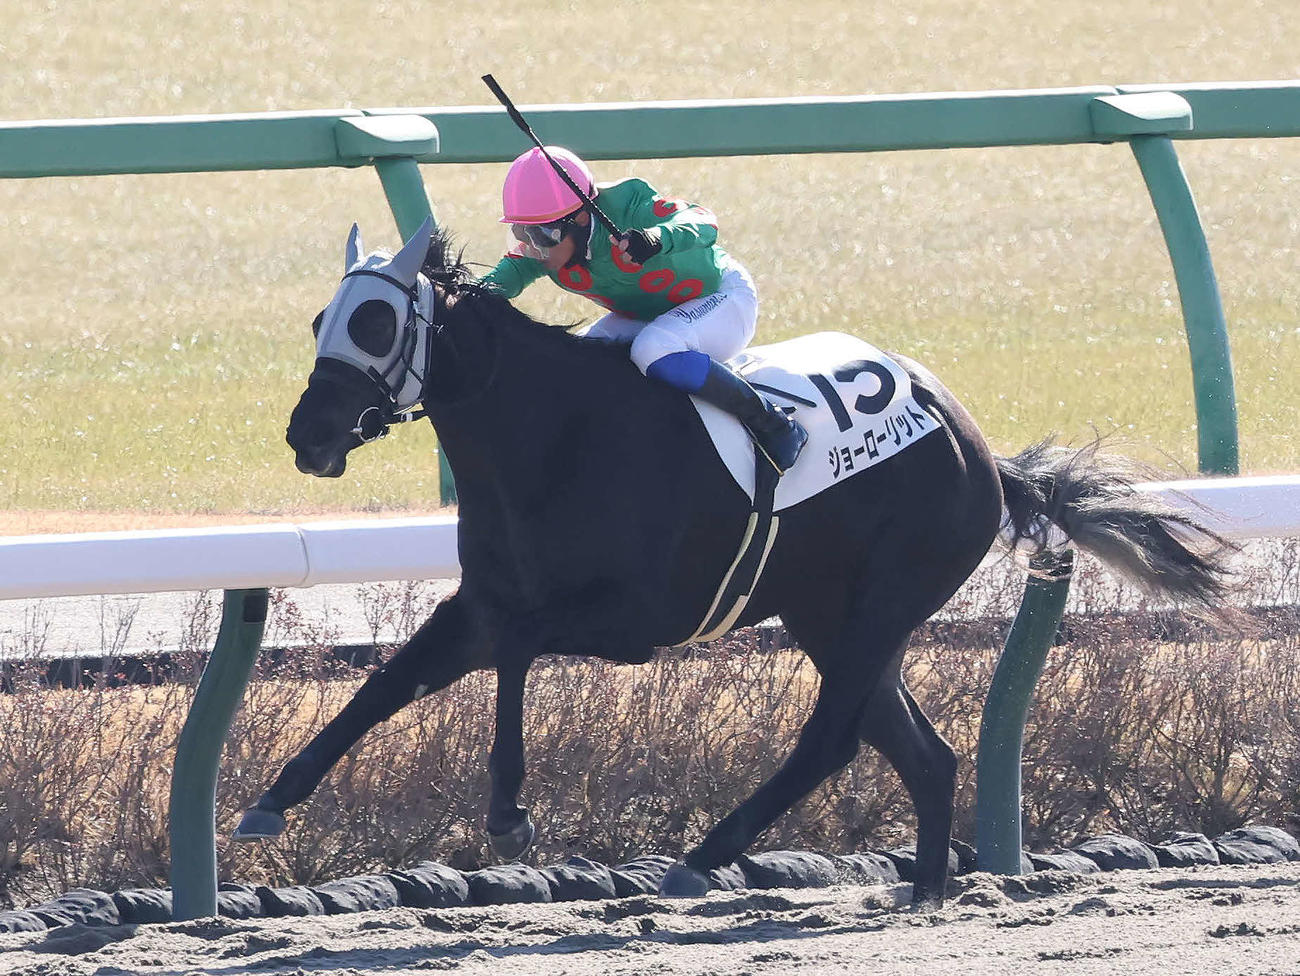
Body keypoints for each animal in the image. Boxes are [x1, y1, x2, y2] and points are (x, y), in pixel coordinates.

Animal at [234, 217, 1234, 907]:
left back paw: (703, 858)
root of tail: (979, 447)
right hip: (831, 614)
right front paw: (270, 802)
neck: (552, 438)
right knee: (921, 750)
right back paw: (923, 889)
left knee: (832, 739)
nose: (308, 436)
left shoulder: (632, 619)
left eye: (373, 323)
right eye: (322, 318)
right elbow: (386, 684)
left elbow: (516, 653)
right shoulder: (480, 603)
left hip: (885, 598)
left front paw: (511, 812)